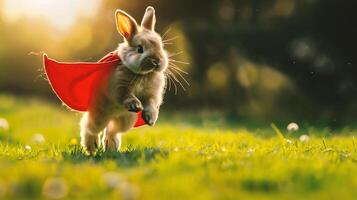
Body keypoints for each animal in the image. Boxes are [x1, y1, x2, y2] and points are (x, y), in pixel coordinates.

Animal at [80, 5, 168, 154]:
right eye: (140, 49)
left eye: (160, 46)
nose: (157, 61)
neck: (143, 74)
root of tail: (111, 116)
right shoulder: (119, 88)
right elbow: (126, 96)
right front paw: (135, 106)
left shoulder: (152, 95)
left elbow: (151, 104)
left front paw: (150, 120)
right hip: (99, 116)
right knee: (89, 128)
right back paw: (92, 147)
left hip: (125, 120)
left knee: (112, 131)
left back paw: (111, 148)